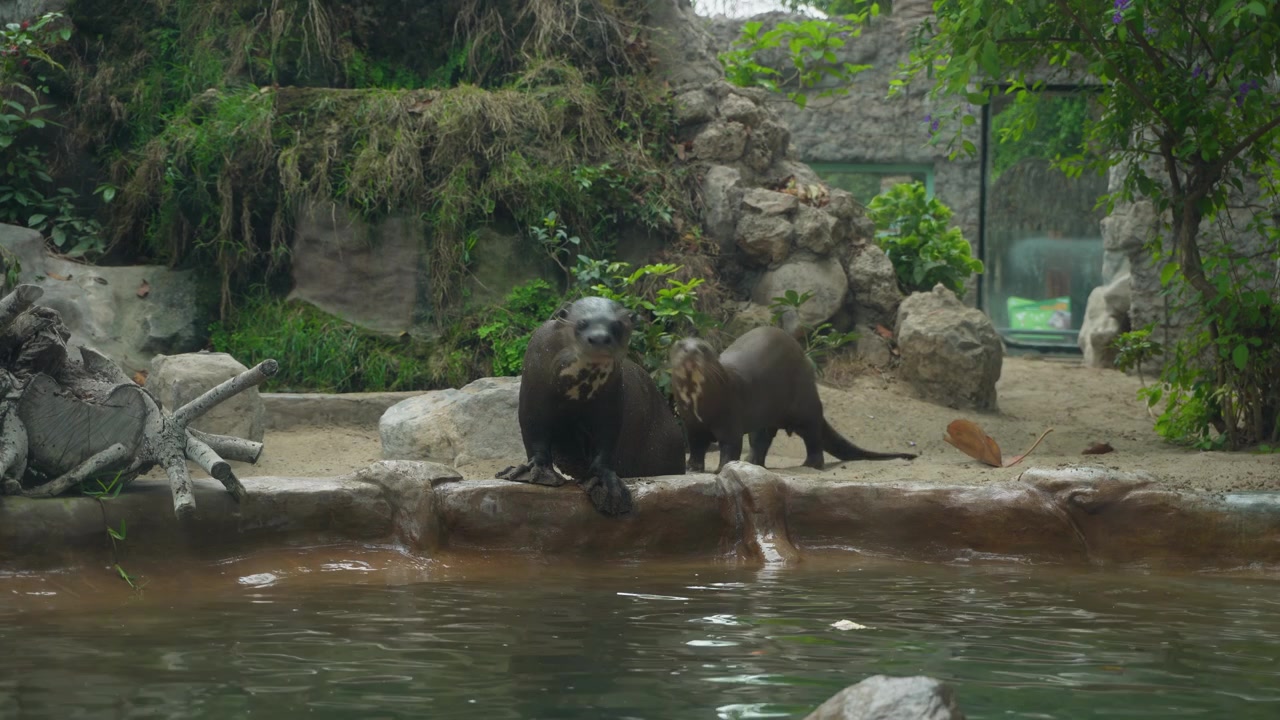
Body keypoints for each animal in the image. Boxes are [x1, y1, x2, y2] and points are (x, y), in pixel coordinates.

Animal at [497, 296, 686, 516]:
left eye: (617, 326)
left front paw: (606, 484)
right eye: (581, 323)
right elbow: (534, 433)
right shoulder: (533, 394)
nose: (600, 339)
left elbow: (607, 439)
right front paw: (532, 471)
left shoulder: (611, 404)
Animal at [668, 326, 917, 472]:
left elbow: (730, 446)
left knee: (813, 436)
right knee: (761, 439)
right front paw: (692, 468)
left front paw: (723, 469)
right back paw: (753, 462)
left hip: (805, 405)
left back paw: (811, 464)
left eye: (703, 348)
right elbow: (696, 447)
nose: (691, 352)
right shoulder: (692, 424)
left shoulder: (730, 421)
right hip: (767, 417)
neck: (703, 406)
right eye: (680, 345)